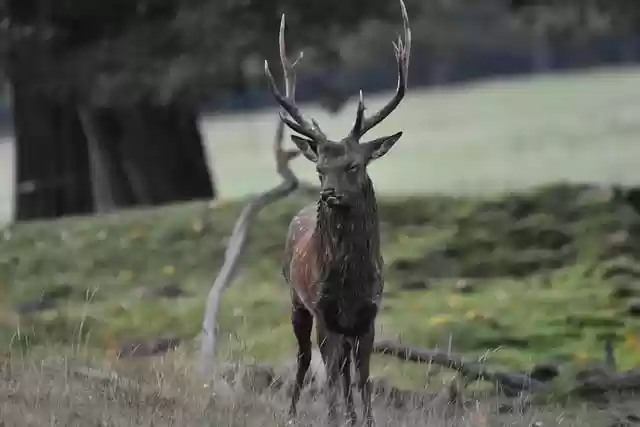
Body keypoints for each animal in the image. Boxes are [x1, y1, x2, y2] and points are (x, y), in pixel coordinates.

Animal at [263, 1, 411, 426]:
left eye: (353, 165)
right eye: (319, 168)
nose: (327, 194)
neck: (350, 281)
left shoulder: (368, 314)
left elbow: (362, 377)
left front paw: (366, 420)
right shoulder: (324, 311)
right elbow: (328, 373)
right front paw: (332, 418)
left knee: (344, 369)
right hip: (296, 301)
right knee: (304, 359)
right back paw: (292, 413)